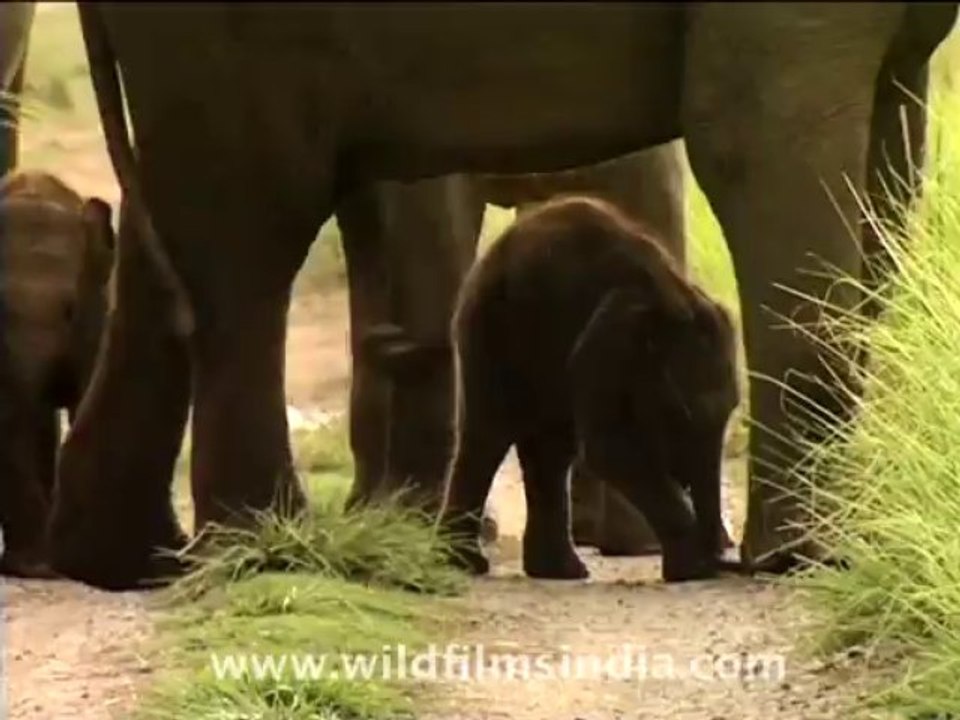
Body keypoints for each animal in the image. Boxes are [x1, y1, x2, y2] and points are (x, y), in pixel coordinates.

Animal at [439, 195, 740, 582]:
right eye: (677, 414)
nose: (723, 554)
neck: (674, 299)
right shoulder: (610, 342)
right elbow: (609, 448)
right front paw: (695, 569)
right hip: (490, 324)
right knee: (488, 434)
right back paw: (467, 565)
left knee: (550, 448)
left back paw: (559, 571)